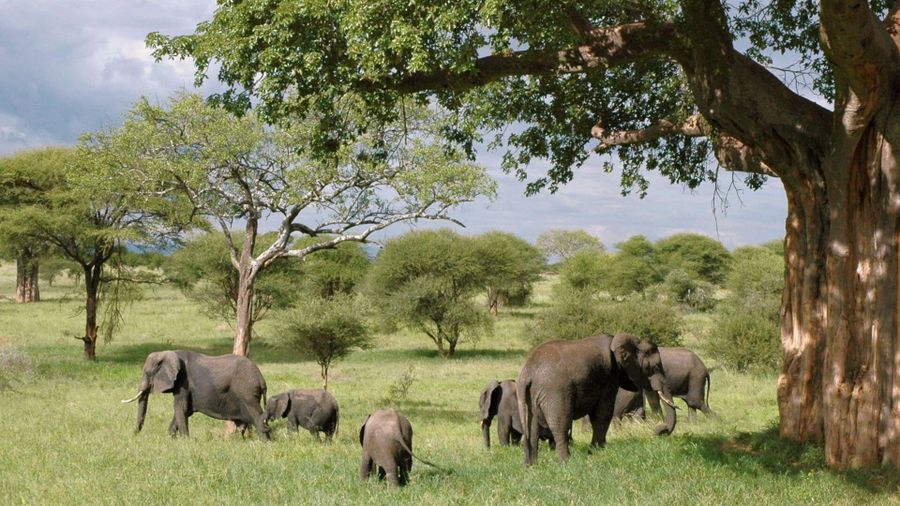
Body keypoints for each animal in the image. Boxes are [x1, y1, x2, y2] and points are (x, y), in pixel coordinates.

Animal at [121, 350, 270, 441]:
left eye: (147, 373)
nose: (134, 435)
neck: (169, 352)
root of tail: (261, 379)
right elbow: (184, 411)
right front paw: (171, 438)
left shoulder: (183, 383)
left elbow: (180, 408)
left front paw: (185, 441)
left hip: (247, 393)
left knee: (257, 415)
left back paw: (265, 442)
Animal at [516, 333, 677, 465]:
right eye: (655, 368)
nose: (659, 431)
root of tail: (528, 373)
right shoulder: (609, 376)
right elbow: (604, 412)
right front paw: (597, 451)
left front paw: (597, 450)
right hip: (555, 393)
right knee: (561, 424)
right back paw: (566, 462)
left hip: (529, 396)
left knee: (532, 428)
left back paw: (531, 465)